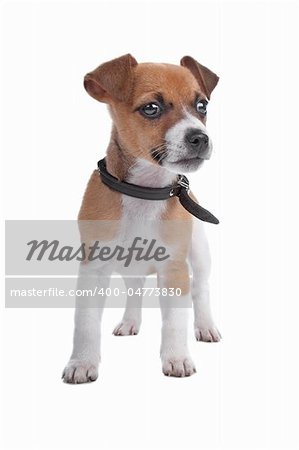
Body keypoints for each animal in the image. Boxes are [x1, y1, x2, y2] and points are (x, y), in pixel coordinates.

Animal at [62, 53, 221, 384]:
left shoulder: (174, 270)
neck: (144, 192)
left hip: (199, 254)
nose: (200, 137)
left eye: (202, 106)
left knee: (201, 290)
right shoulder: (93, 269)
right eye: (151, 108)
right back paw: (129, 322)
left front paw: (176, 358)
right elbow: (85, 321)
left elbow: (175, 320)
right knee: (134, 291)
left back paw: (206, 327)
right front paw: (82, 362)